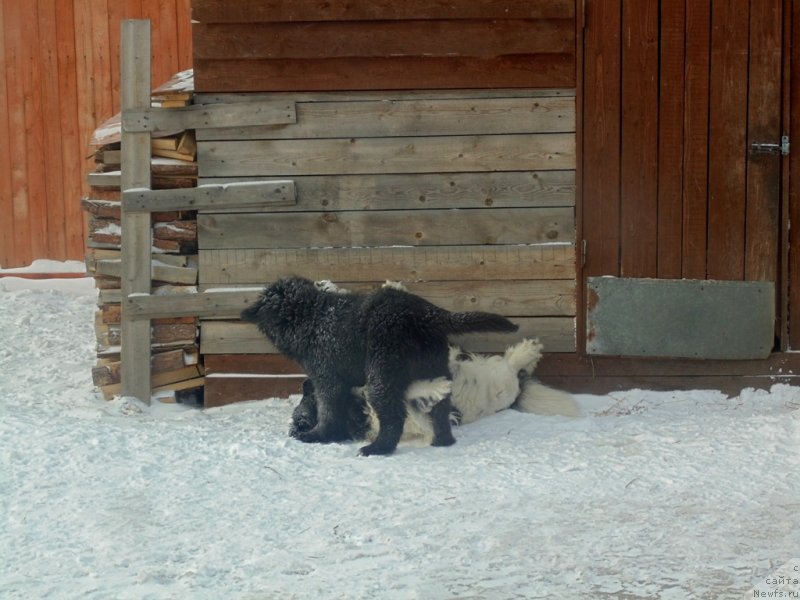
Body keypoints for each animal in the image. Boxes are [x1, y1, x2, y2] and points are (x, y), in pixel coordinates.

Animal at [239, 276, 520, 454]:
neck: (313, 317)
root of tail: (424, 314)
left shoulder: (327, 379)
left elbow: (328, 411)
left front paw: (317, 436)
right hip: (434, 367)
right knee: (440, 408)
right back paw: (442, 441)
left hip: (380, 376)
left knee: (394, 417)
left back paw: (378, 449)